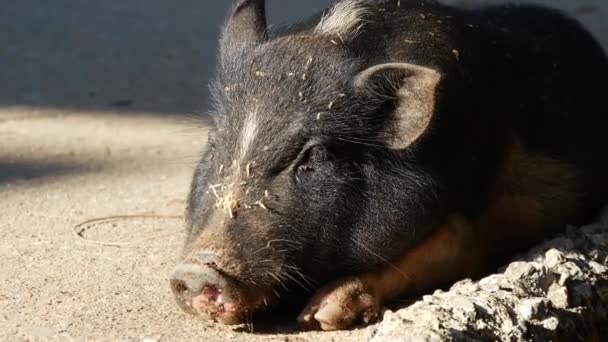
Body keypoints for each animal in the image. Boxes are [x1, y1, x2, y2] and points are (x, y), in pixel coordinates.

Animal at [169, 0, 608, 332]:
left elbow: (454, 244)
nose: (195, 272)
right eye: (215, 144)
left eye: (313, 156)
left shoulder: (478, 221)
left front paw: (319, 316)